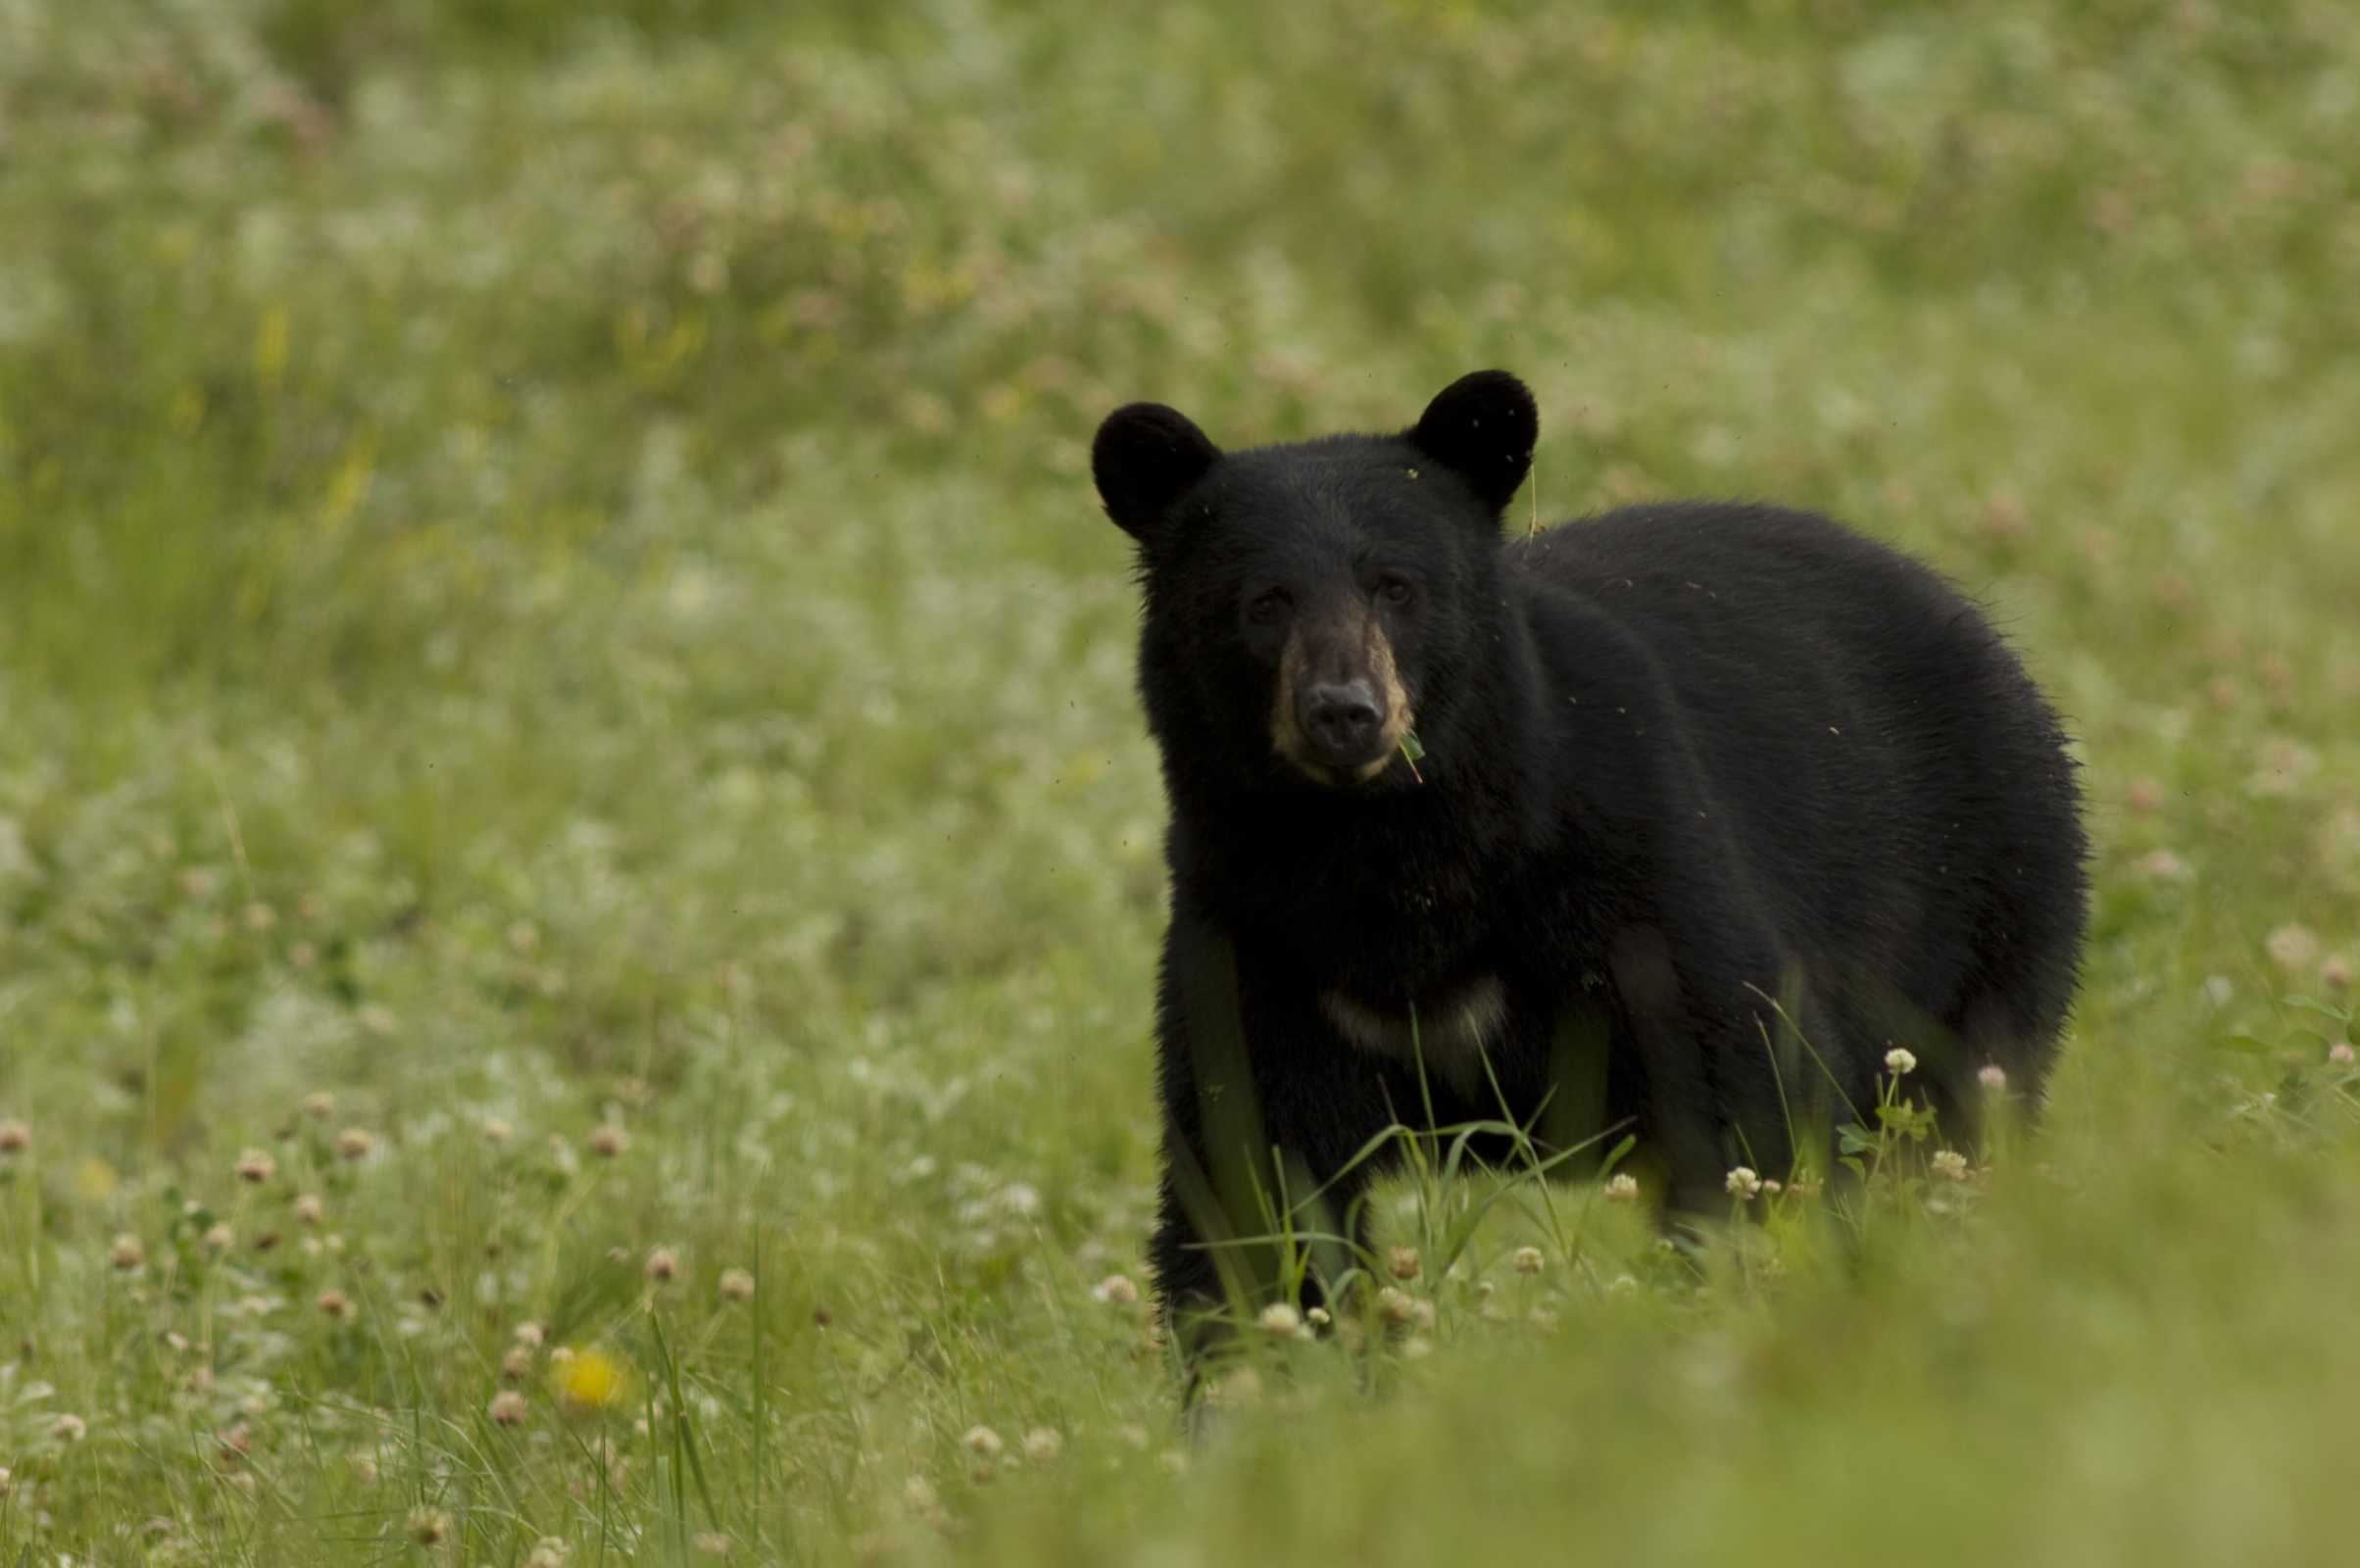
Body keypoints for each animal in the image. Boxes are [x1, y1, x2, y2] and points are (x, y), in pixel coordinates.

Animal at [1085, 370, 2086, 1350]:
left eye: (1396, 586)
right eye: (1263, 602)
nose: (1344, 711)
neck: (1392, 857)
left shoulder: (1629, 871)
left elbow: (1749, 1101)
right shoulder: (1254, 934)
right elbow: (1253, 1182)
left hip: (1982, 903)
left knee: (1957, 1109)